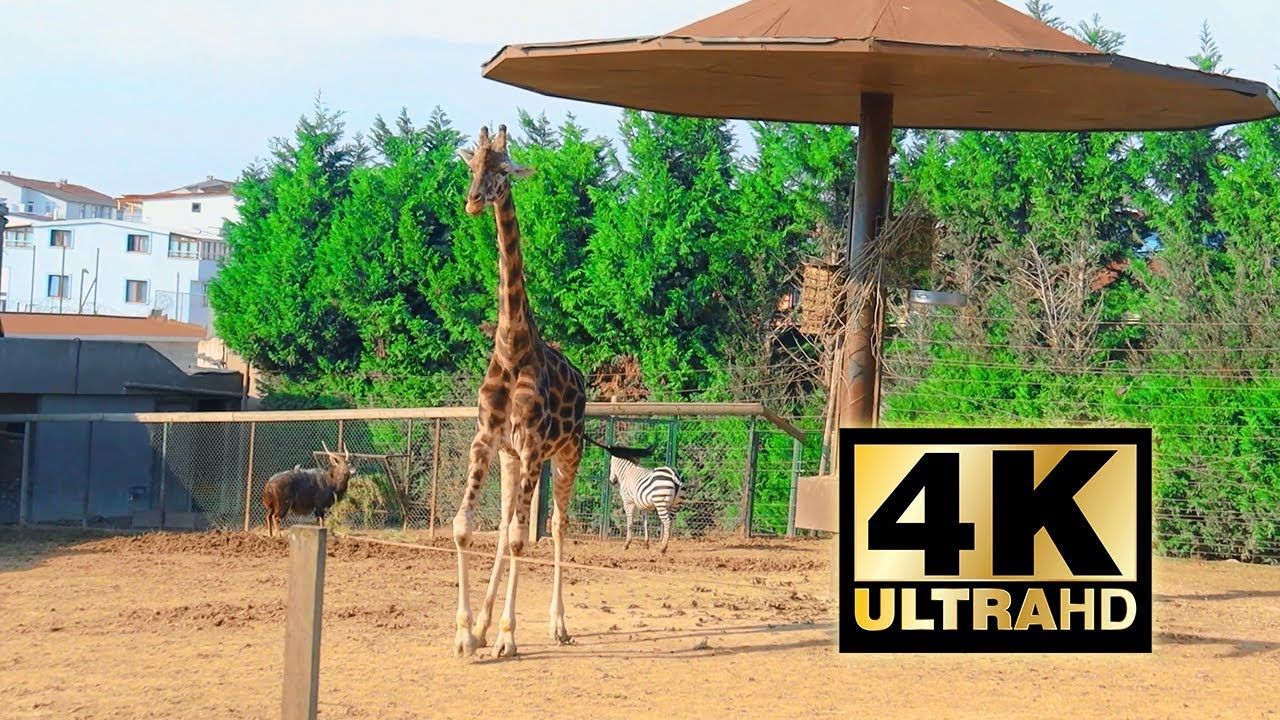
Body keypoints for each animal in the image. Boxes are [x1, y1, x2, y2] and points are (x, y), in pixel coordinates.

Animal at [451, 124, 588, 659]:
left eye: (504, 170)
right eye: (471, 166)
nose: (472, 201)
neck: (511, 347)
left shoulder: (532, 447)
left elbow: (518, 540)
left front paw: (507, 638)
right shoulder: (488, 439)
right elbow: (468, 527)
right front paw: (467, 633)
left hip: (568, 454)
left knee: (556, 526)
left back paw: (559, 625)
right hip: (511, 460)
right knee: (511, 518)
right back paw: (485, 625)